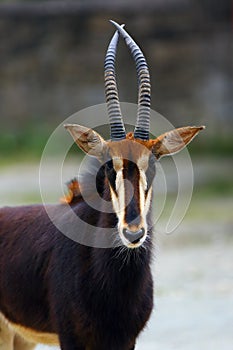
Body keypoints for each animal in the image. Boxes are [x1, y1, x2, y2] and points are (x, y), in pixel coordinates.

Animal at [0, 21, 204, 350]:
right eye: (109, 165)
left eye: (153, 164)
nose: (133, 232)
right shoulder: (70, 337)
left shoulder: (124, 339)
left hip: (20, 336)